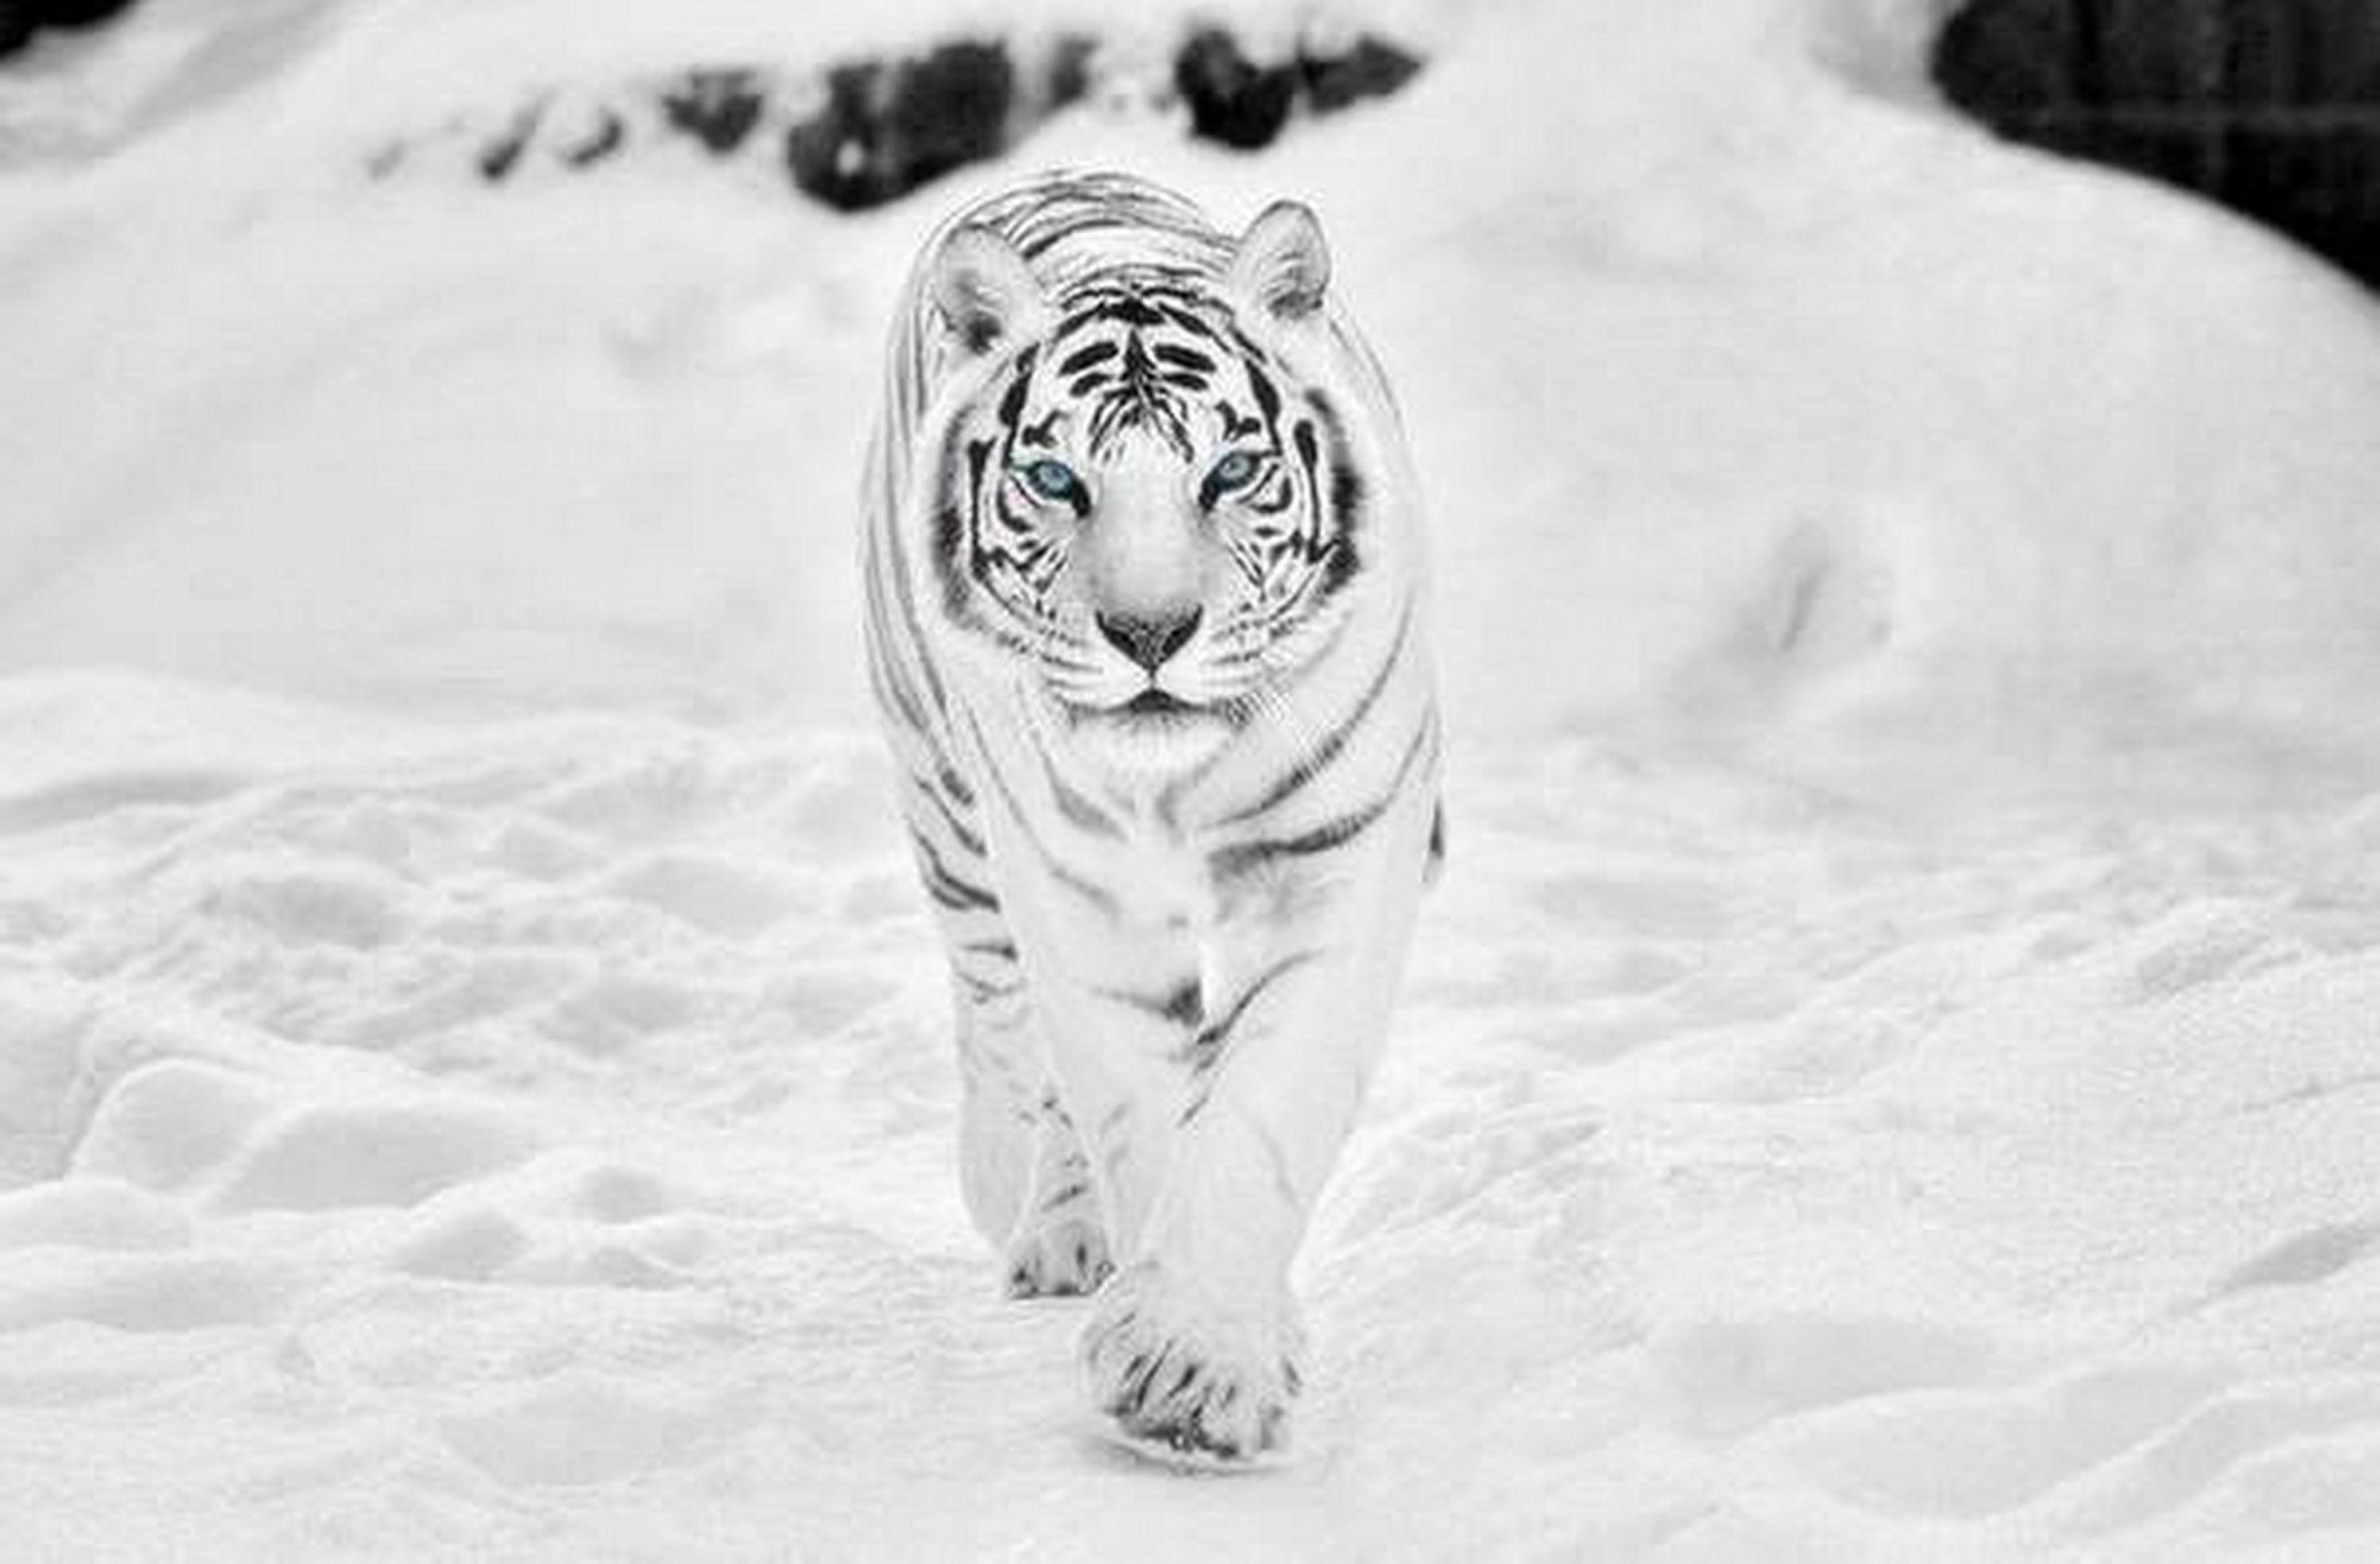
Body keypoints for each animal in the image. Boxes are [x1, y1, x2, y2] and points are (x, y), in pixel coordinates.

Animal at [860, 169, 1442, 1465]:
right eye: (1056, 481)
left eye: (1227, 474)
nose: (1149, 635)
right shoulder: (1080, 900)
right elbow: (1132, 1099)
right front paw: (1189, 1351)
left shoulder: (1337, 865)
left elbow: (1262, 1107)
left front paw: (1201, 1365)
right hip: (947, 805)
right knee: (1000, 1016)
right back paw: (1029, 1206)